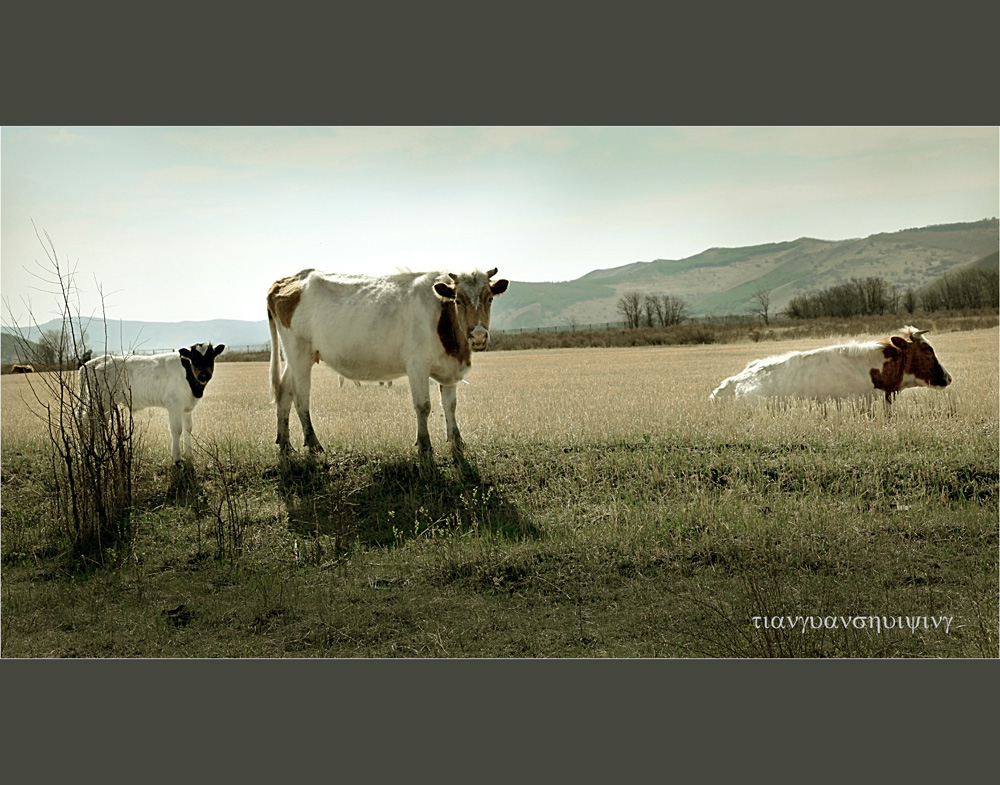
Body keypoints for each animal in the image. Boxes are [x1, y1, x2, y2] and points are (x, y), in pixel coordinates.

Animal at [78, 342, 227, 462]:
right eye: (194, 359)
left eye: (211, 358)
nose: (204, 375)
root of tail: (91, 363)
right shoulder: (174, 405)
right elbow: (177, 429)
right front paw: (177, 458)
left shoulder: (187, 407)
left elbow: (188, 428)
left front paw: (189, 455)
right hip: (102, 401)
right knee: (93, 423)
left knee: (88, 421)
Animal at [266, 268, 508, 456]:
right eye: (458, 299)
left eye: (490, 298)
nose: (478, 336)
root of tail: (289, 279)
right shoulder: (417, 364)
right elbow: (423, 406)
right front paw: (425, 446)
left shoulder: (449, 368)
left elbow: (450, 405)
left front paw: (457, 442)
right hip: (299, 352)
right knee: (301, 397)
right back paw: (313, 444)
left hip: (295, 356)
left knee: (284, 392)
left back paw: (285, 444)